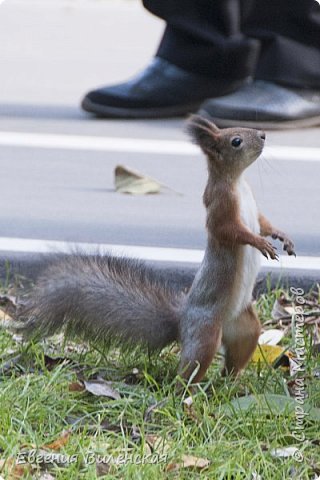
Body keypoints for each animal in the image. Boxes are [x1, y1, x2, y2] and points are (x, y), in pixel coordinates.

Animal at [8, 116, 296, 386]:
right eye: (236, 140)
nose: (263, 134)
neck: (238, 182)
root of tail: (182, 320)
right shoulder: (220, 207)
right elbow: (231, 231)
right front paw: (260, 244)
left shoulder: (254, 211)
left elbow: (264, 223)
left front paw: (282, 237)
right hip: (205, 334)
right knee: (190, 370)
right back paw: (188, 393)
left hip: (245, 328)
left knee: (235, 359)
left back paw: (230, 385)